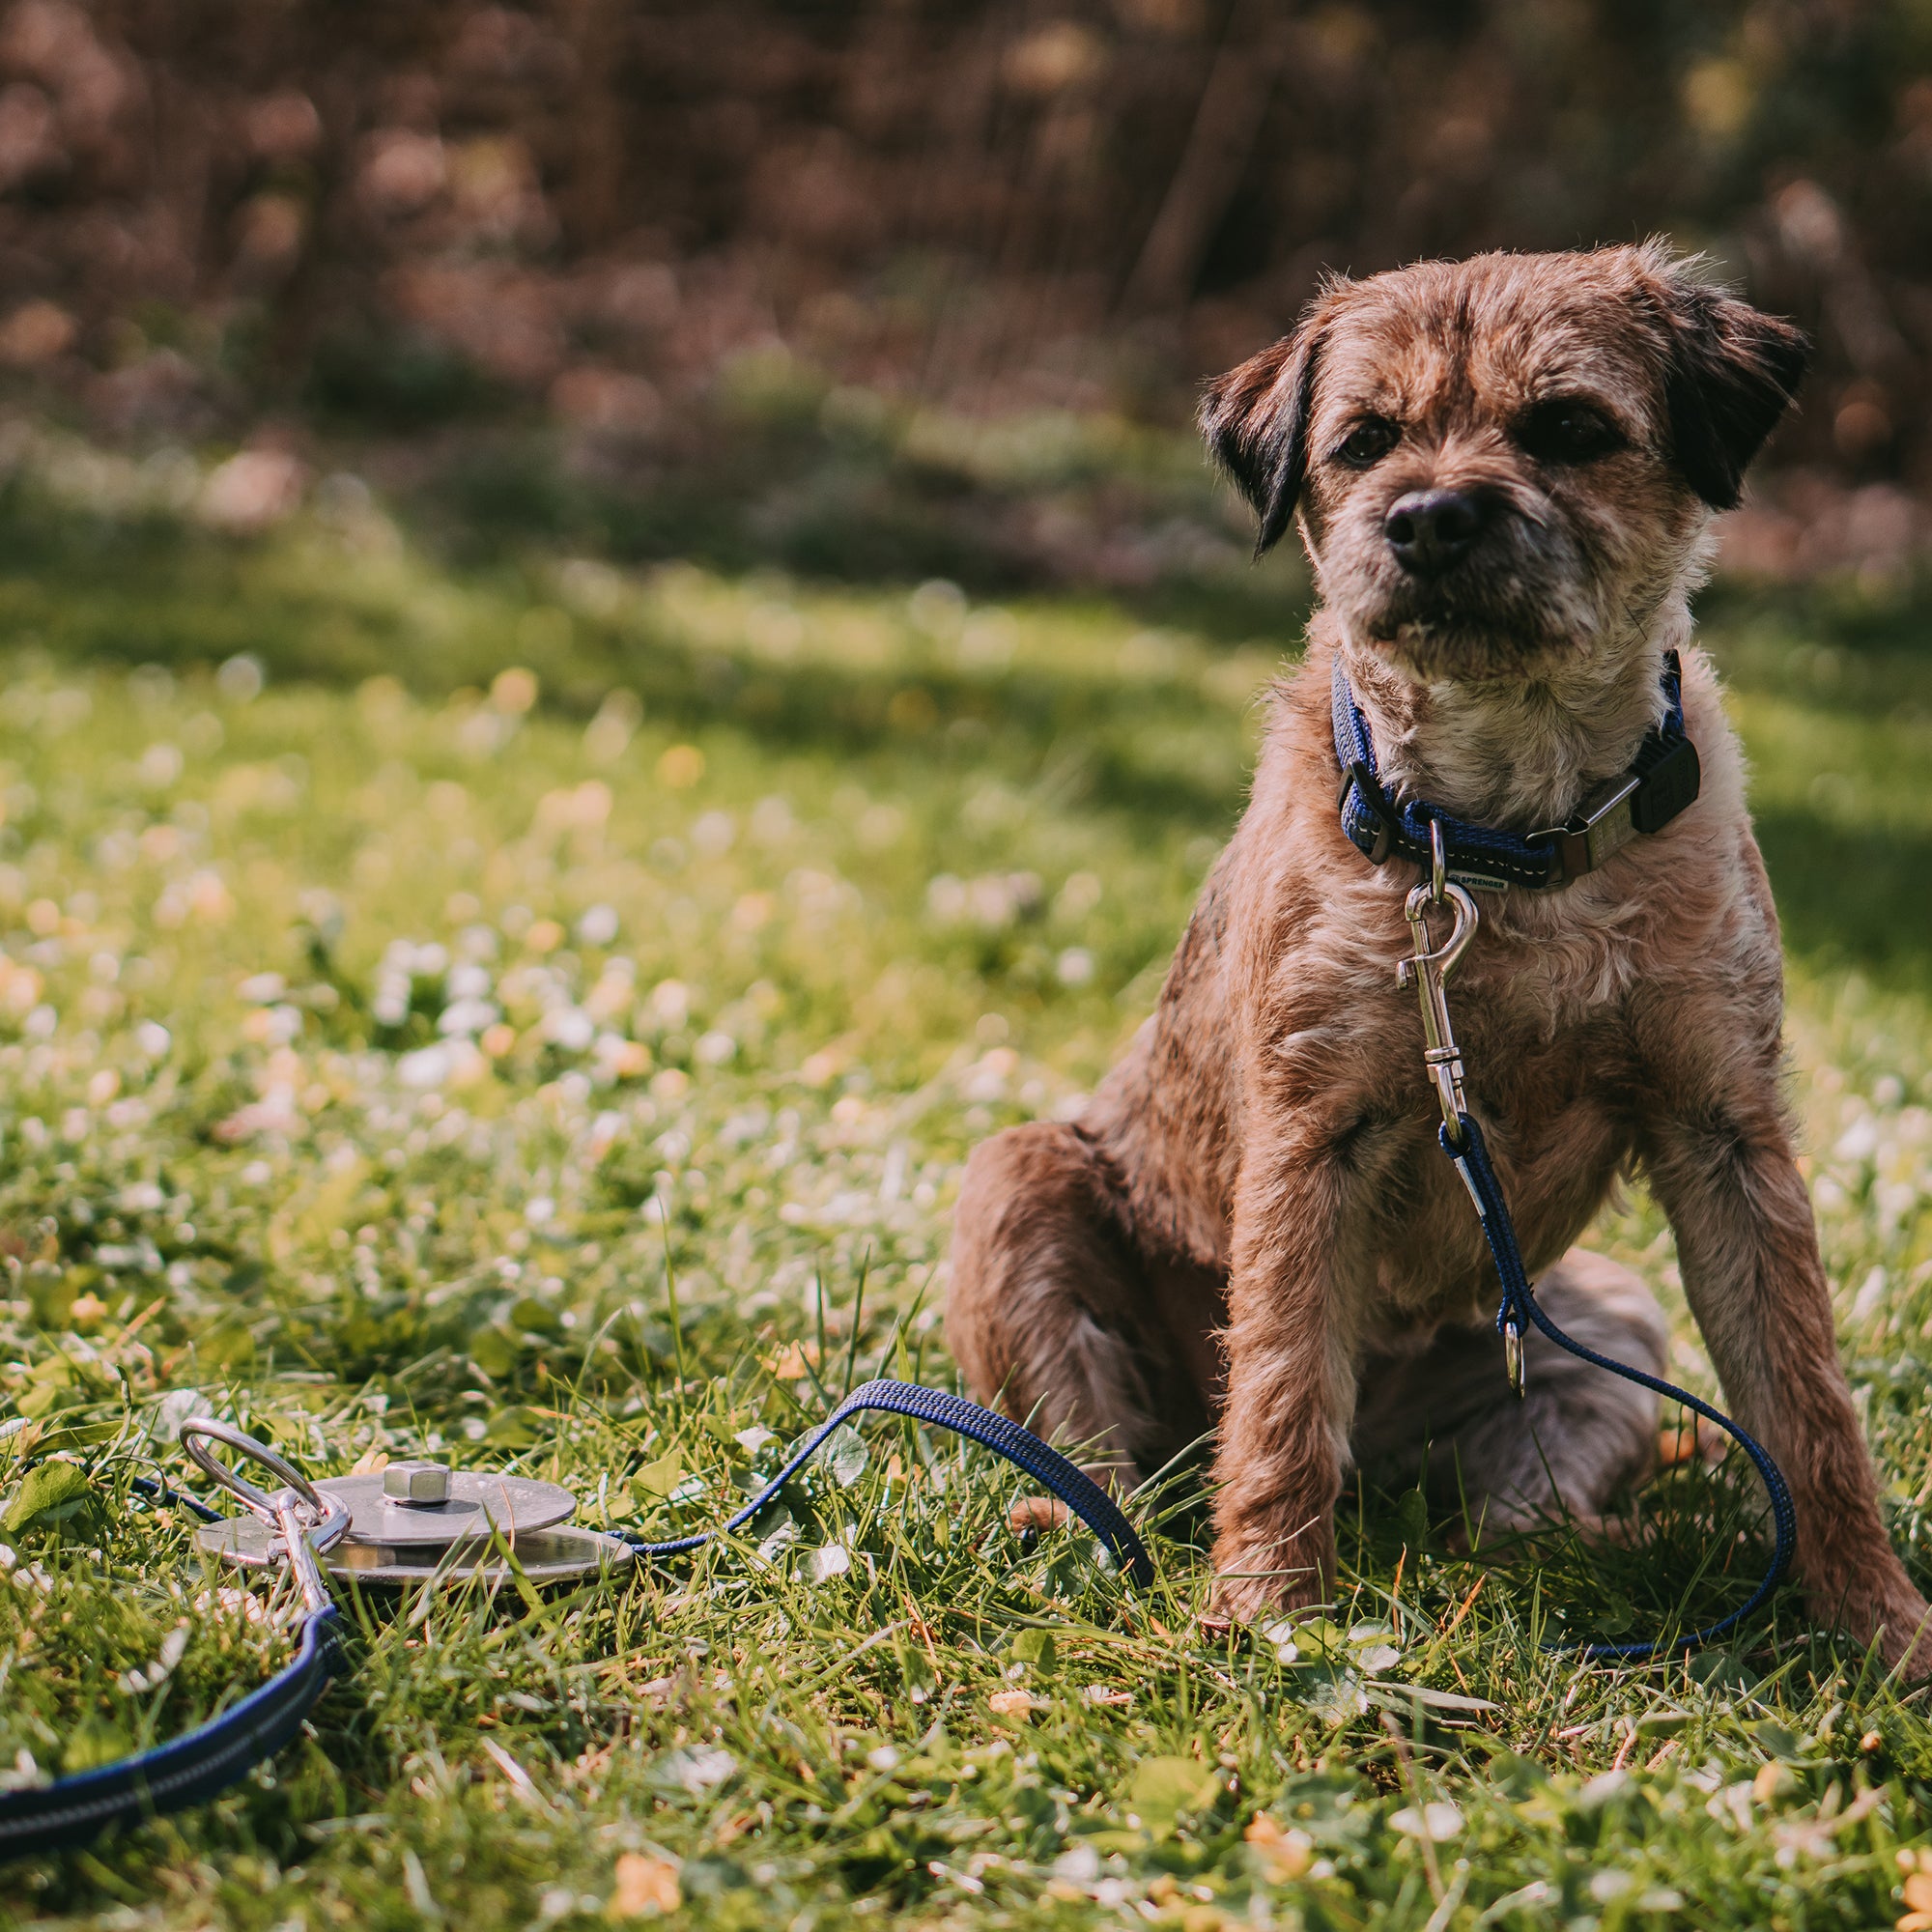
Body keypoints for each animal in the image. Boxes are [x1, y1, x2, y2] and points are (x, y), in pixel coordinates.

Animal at [947, 238, 1932, 1662]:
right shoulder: (1313, 1141)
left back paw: (1600, 1556)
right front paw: (1265, 1613)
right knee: (1119, 1460)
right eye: (1363, 443)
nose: (1426, 518)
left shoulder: (1726, 1135)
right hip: (1017, 1186)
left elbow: (1807, 1407)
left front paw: (1879, 1626)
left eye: (1568, 429)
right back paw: (1082, 1522)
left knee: (1509, 1513)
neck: (1502, 835)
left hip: (1604, 1317)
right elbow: (1283, 1394)